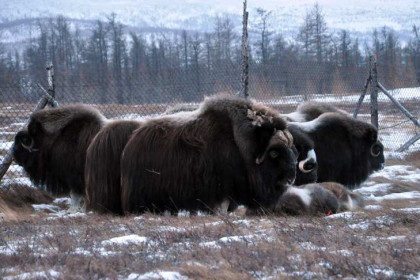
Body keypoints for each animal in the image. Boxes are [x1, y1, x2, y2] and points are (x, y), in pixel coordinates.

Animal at [118, 95, 296, 213]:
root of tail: (132, 140)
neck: (241, 145)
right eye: (274, 153)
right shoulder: (221, 190)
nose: (291, 178)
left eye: (291, 150)